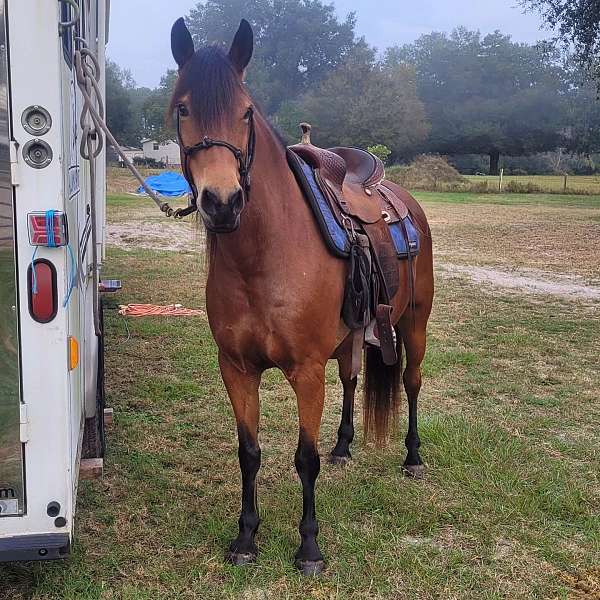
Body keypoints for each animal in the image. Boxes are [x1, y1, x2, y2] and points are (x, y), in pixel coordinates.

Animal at [171, 16, 434, 576]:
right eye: (183, 108)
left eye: (246, 112)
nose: (222, 202)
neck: (264, 259)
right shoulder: (236, 368)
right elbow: (249, 452)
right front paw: (246, 537)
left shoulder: (306, 370)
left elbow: (304, 458)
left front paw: (309, 547)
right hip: (356, 334)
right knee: (353, 378)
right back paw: (344, 446)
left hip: (413, 323)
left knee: (412, 381)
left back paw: (413, 457)